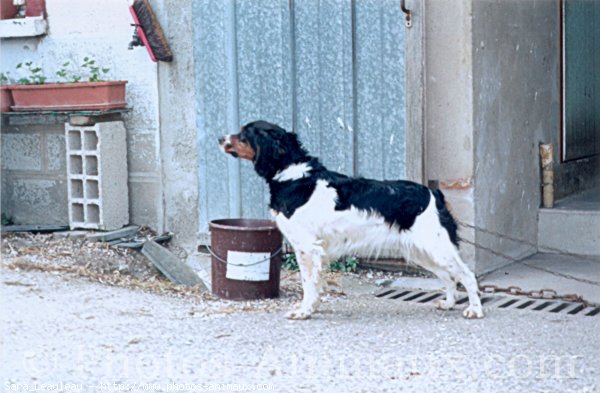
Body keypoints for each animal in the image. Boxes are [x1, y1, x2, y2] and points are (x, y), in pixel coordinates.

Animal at [219, 121, 482, 320]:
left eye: (244, 134)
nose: (220, 137)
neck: (294, 177)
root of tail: (433, 193)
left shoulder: (307, 248)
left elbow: (308, 283)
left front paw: (304, 311)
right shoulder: (310, 250)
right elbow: (314, 283)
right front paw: (312, 308)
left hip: (438, 248)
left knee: (467, 275)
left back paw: (475, 310)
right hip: (422, 252)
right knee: (449, 277)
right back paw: (448, 303)